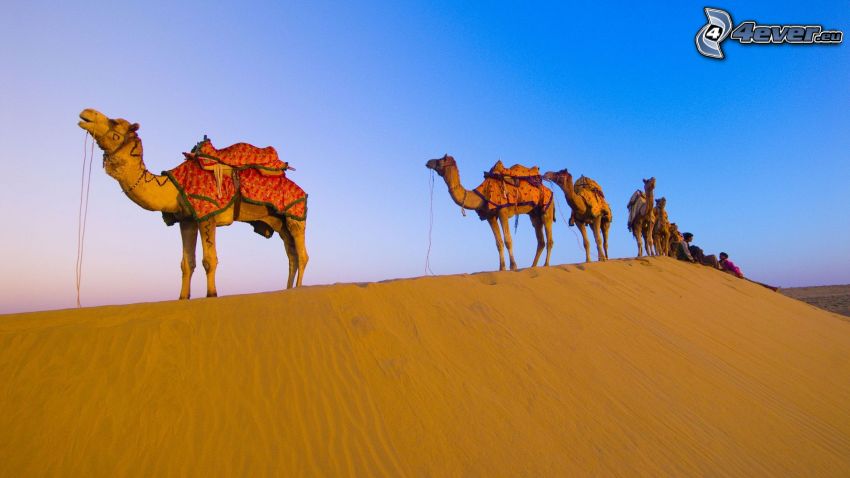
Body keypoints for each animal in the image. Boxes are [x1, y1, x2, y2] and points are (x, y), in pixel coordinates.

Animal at [77, 108, 308, 298]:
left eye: (114, 122)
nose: (85, 113)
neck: (173, 186)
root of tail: (302, 190)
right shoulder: (186, 220)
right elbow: (186, 264)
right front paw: (183, 297)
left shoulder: (207, 215)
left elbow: (209, 260)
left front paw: (211, 295)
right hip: (277, 221)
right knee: (291, 255)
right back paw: (288, 289)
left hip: (295, 216)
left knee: (302, 254)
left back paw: (298, 288)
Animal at [424, 155, 556, 270]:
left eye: (441, 159)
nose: (428, 162)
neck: (482, 194)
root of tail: (549, 190)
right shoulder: (490, 216)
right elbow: (498, 243)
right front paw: (501, 268)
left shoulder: (503, 212)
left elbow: (508, 240)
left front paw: (513, 266)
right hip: (534, 214)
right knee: (540, 239)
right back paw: (533, 267)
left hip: (546, 208)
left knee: (549, 238)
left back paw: (546, 265)